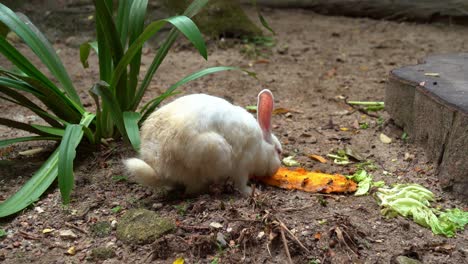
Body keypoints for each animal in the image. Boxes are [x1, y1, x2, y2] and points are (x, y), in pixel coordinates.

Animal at [124, 89, 282, 195]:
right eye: (278, 151)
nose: (275, 170)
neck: (261, 147)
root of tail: (160, 169)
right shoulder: (243, 165)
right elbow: (241, 183)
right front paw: (250, 192)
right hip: (216, 151)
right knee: (193, 189)